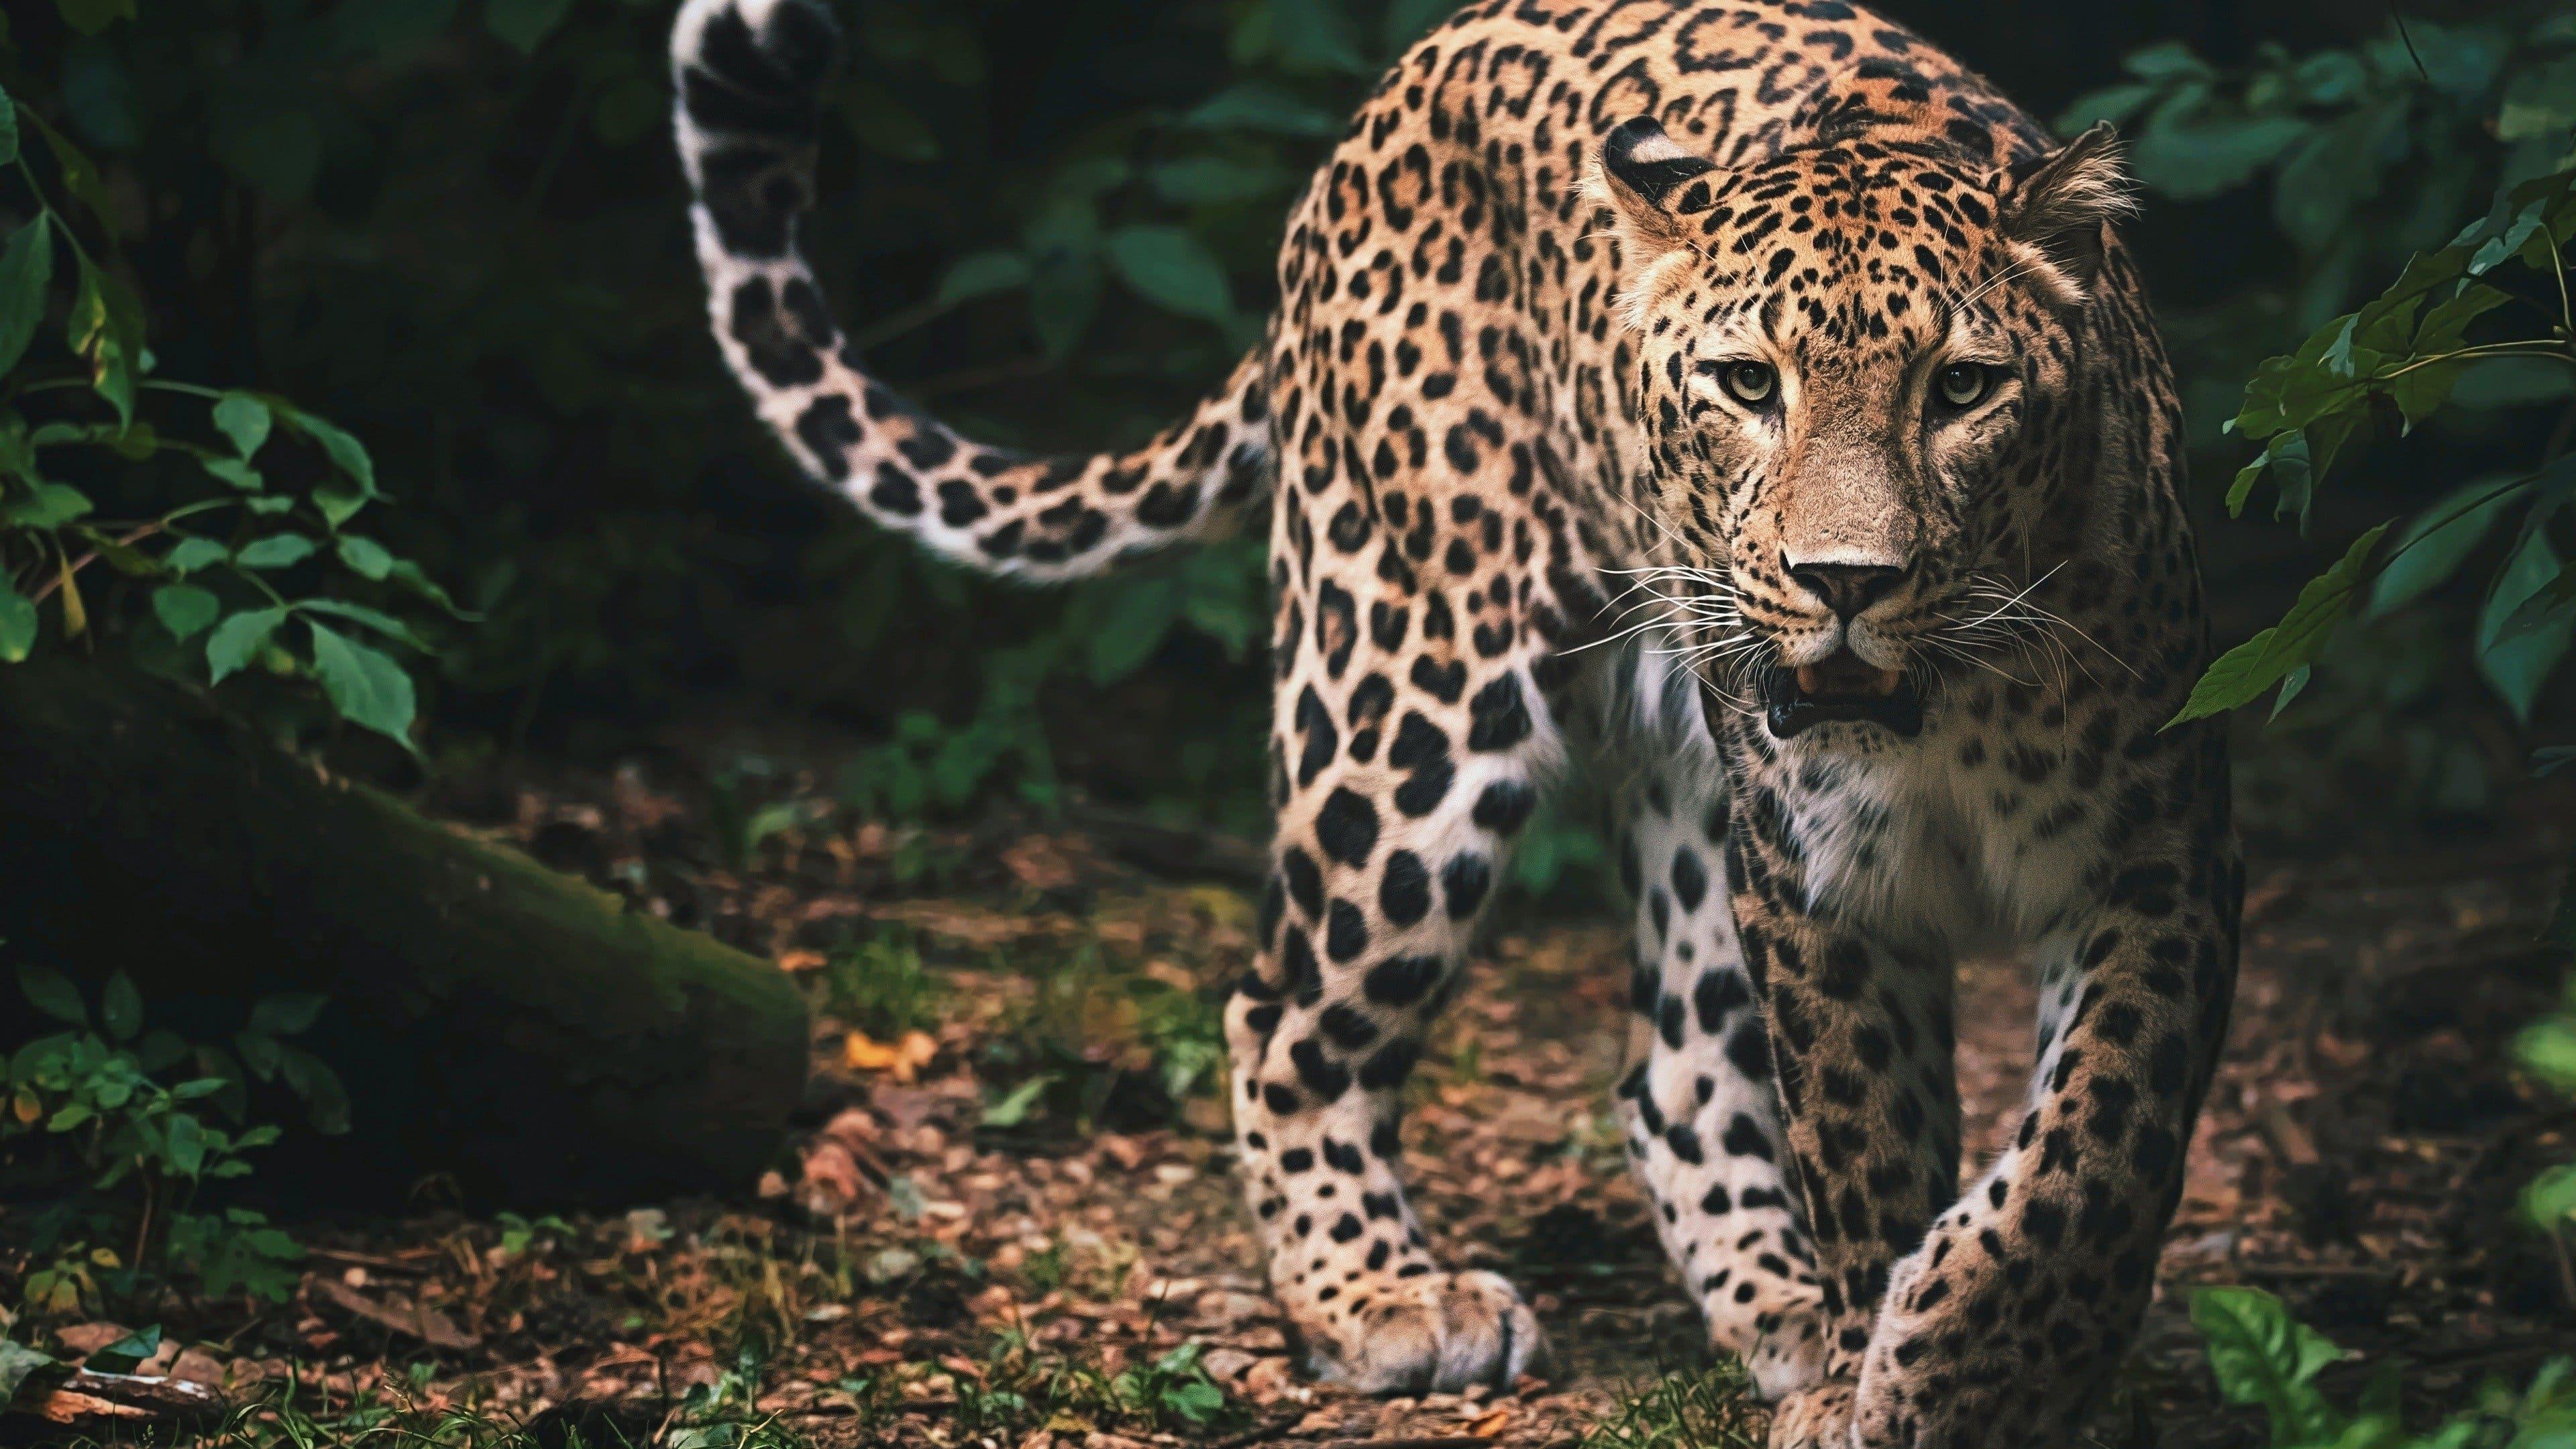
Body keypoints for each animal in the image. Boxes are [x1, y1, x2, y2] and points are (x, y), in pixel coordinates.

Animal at [675, 3, 2246, 1433]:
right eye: (1748, 383)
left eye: (1964, 388)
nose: (1844, 584)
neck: (1946, 716)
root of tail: (1402, 79)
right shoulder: (1821, 887)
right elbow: (1871, 1142)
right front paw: (1903, 1367)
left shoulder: (2161, 852)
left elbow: (2098, 1144)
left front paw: (1975, 1362)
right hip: (1408, 691)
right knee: (1283, 1012)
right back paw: (1383, 1299)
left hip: (1682, 778)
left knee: (1673, 1067)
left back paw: (1784, 1318)